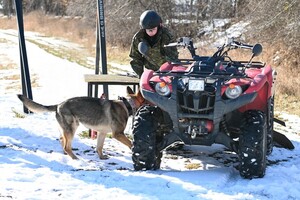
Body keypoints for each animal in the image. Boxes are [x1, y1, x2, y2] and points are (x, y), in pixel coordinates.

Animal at [17, 86, 146, 160]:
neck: (127, 104)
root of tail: (58, 105)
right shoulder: (118, 134)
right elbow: (130, 143)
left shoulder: (102, 133)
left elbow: (99, 147)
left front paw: (101, 157)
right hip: (72, 128)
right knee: (67, 146)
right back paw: (74, 158)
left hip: (66, 130)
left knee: (62, 142)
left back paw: (67, 154)